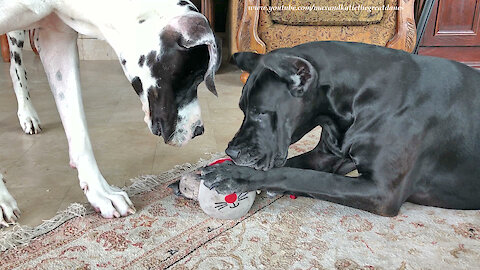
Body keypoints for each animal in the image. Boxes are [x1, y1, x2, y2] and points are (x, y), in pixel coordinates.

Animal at [0, 0, 220, 226]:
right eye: (192, 76)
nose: (199, 130)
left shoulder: (57, 40)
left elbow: (79, 129)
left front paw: (100, 192)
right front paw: (3, 201)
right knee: (16, 68)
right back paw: (27, 114)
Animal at [201, 40, 480, 217]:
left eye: (260, 112)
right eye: (242, 108)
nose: (231, 152)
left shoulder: (381, 192)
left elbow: (304, 177)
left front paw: (235, 175)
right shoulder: (328, 156)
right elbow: (294, 167)